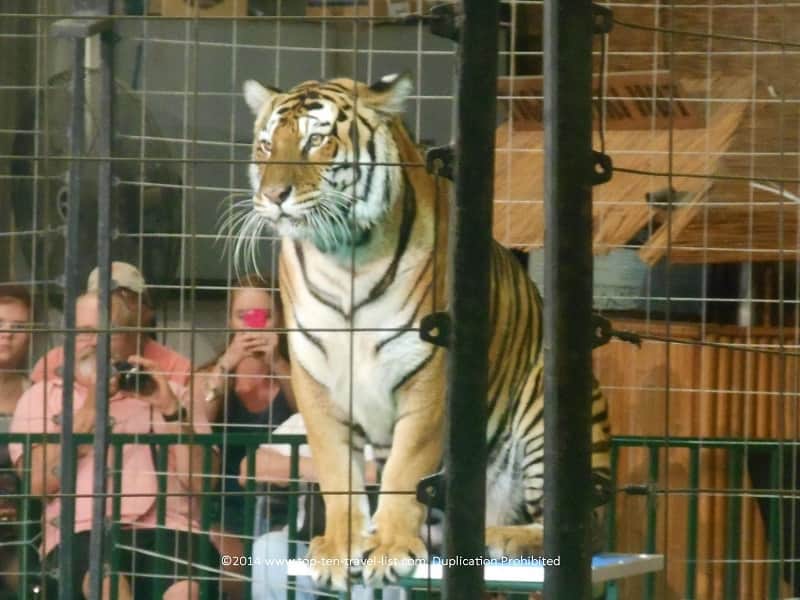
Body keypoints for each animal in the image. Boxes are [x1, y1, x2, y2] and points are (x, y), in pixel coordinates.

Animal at [240, 73, 611, 590]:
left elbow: (404, 468)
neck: (344, 259)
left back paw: (505, 537)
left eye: (316, 141)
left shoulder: (429, 373)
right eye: (266, 145)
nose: (273, 196)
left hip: (547, 410)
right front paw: (340, 549)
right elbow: (336, 472)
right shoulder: (316, 381)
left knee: (583, 528)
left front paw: (391, 548)